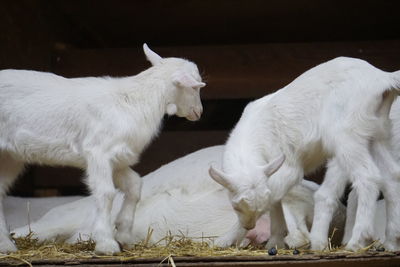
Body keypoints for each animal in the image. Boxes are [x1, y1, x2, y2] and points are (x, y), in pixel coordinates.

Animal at [0, 44, 205, 255]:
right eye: (195, 87)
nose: (199, 112)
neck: (135, 101)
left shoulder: (117, 159)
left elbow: (135, 185)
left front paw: (123, 234)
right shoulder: (98, 152)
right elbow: (106, 193)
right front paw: (106, 243)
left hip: (9, 157)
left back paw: (6, 245)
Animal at [208, 56, 400, 251]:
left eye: (236, 207)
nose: (249, 226)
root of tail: (382, 78)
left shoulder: (288, 169)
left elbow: (274, 198)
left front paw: (224, 240)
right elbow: (276, 202)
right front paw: (275, 241)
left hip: (347, 135)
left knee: (368, 177)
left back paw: (357, 241)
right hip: (376, 132)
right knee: (391, 177)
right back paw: (392, 241)